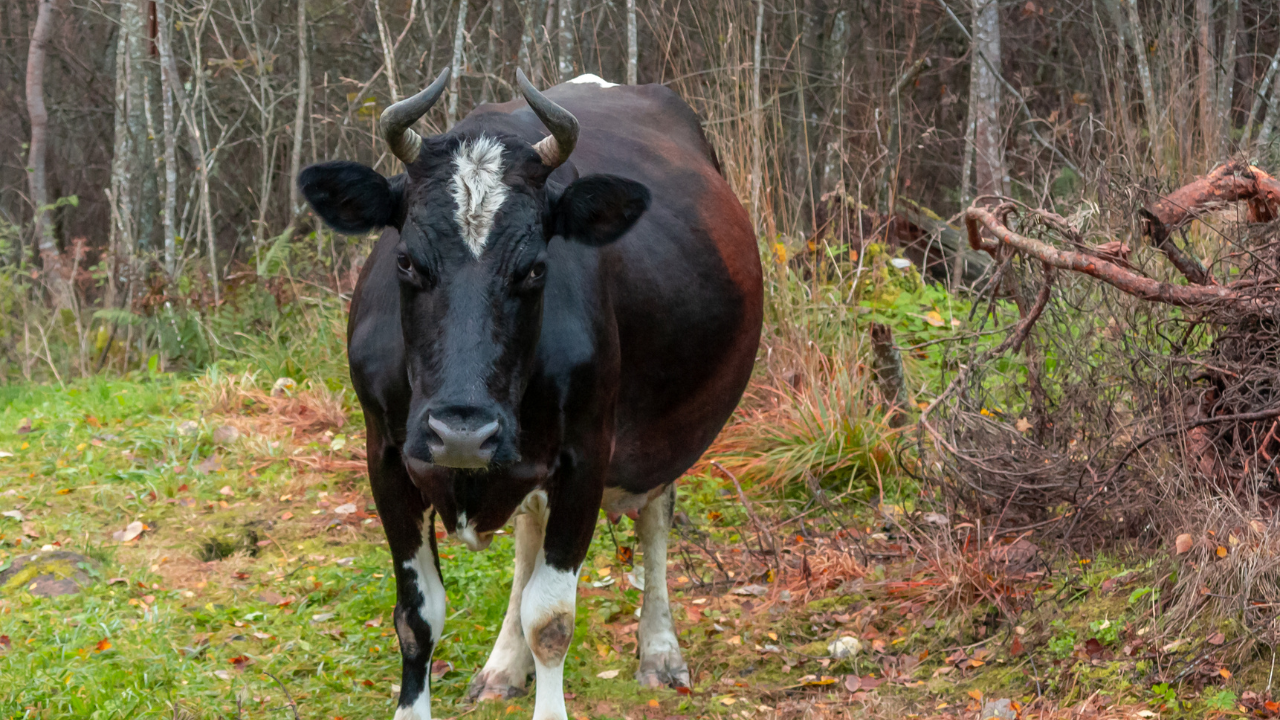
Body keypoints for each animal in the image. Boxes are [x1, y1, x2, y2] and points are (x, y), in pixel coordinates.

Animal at [298, 67, 757, 717]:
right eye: (406, 261)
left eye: (537, 267)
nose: (462, 432)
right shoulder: (384, 454)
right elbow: (417, 616)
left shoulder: (586, 456)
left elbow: (552, 618)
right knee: (527, 538)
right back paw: (502, 666)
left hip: (662, 433)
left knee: (655, 517)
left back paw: (660, 651)